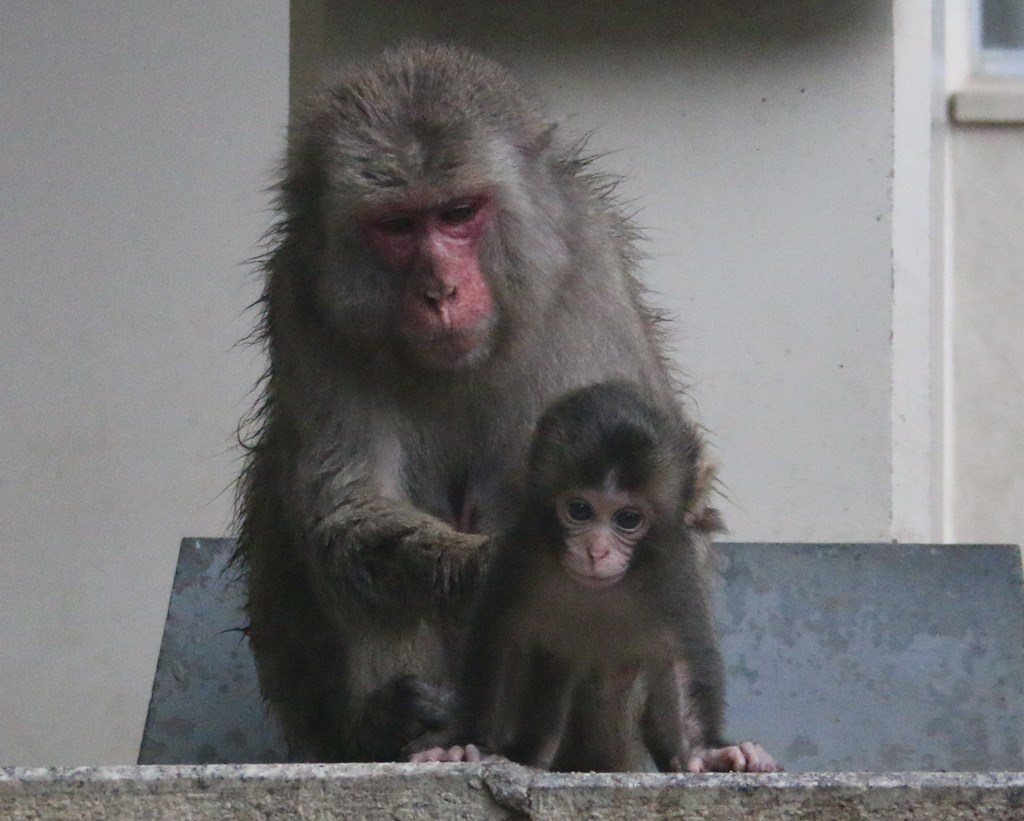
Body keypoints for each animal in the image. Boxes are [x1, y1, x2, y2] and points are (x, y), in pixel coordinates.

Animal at [234, 43, 696, 761]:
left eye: (458, 213)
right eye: (397, 224)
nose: (440, 292)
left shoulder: (588, 279)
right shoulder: (304, 300)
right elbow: (346, 518)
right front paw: (489, 573)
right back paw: (407, 730)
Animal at [411, 380, 778, 769]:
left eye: (628, 519)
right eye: (579, 510)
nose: (597, 550)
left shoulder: (675, 566)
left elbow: (679, 655)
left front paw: (705, 752)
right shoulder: (521, 552)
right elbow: (501, 637)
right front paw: (470, 744)